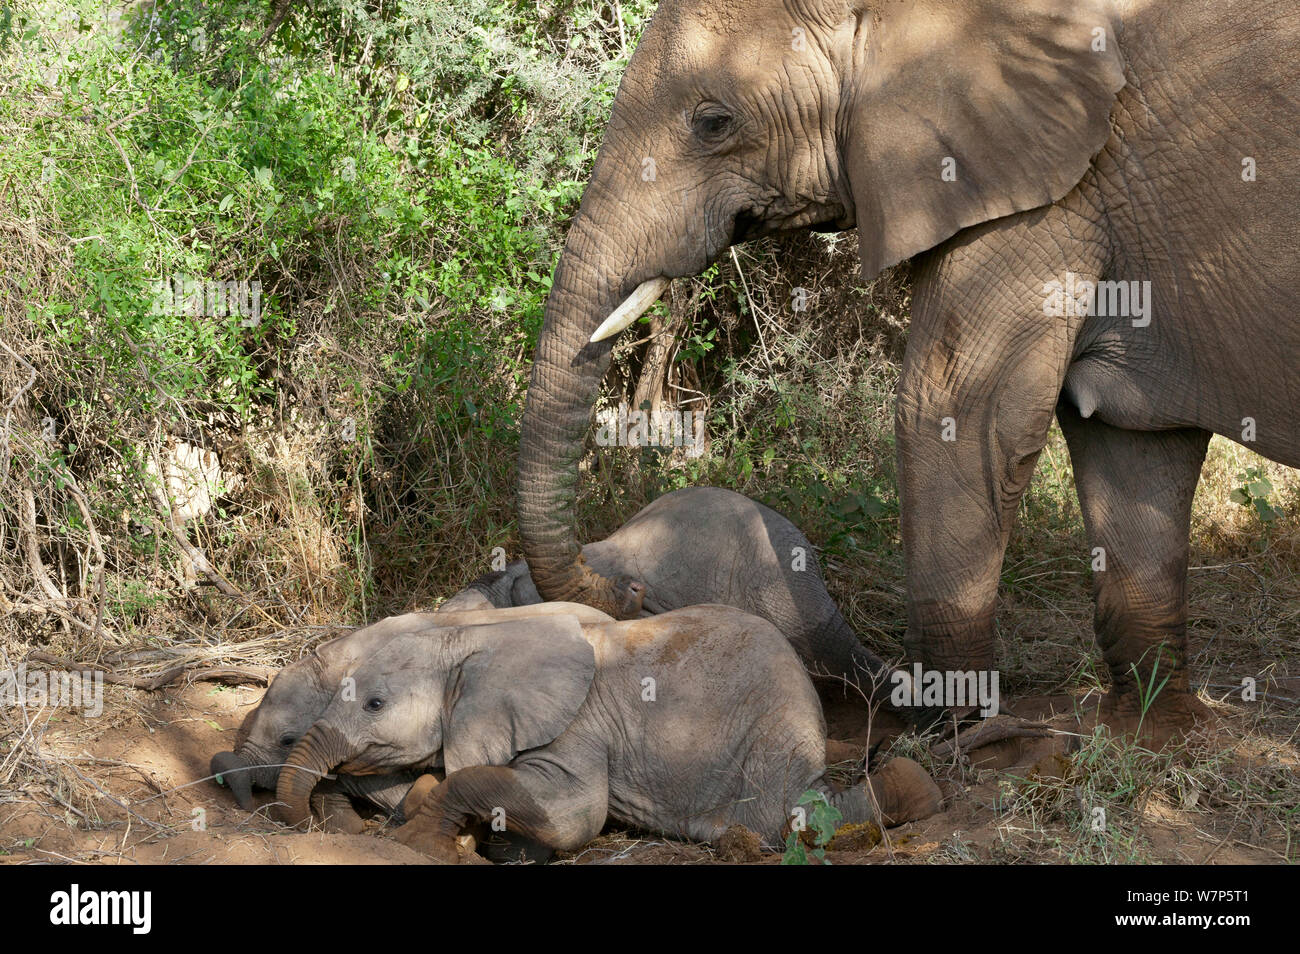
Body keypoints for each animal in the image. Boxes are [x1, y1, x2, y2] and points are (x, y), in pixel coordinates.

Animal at [276, 605, 946, 868]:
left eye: (375, 704)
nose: (309, 816)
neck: (469, 637)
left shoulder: (575, 728)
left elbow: (574, 817)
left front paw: (420, 841)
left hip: (765, 743)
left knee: (789, 817)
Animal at [512, 0, 1294, 743]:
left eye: (713, 123)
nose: (629, 595)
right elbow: (1132, 443)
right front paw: (1154, 735)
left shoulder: (1049, 191)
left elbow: (954, 410)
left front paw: (957, 733)